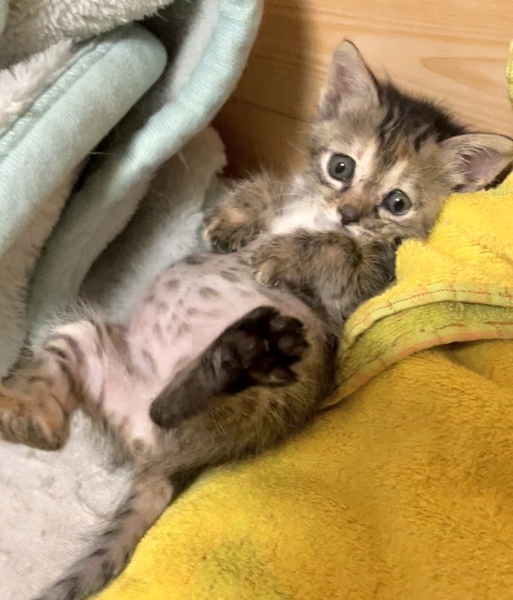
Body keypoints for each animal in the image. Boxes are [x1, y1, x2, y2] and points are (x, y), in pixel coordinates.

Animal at [0, 40, 512, 600]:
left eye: (396, 203)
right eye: (341, 166)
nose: (349, 214)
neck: (316, 213)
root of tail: (158, 462)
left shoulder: (367, 283)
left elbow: (337, 251)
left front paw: (282, 252)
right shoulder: (296, 193)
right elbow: (269, 185)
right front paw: (232, 221)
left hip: (283, 383)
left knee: (175, 405)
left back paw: (237, 355)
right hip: (80, 333)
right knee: (98, 404)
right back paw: (25, 415)